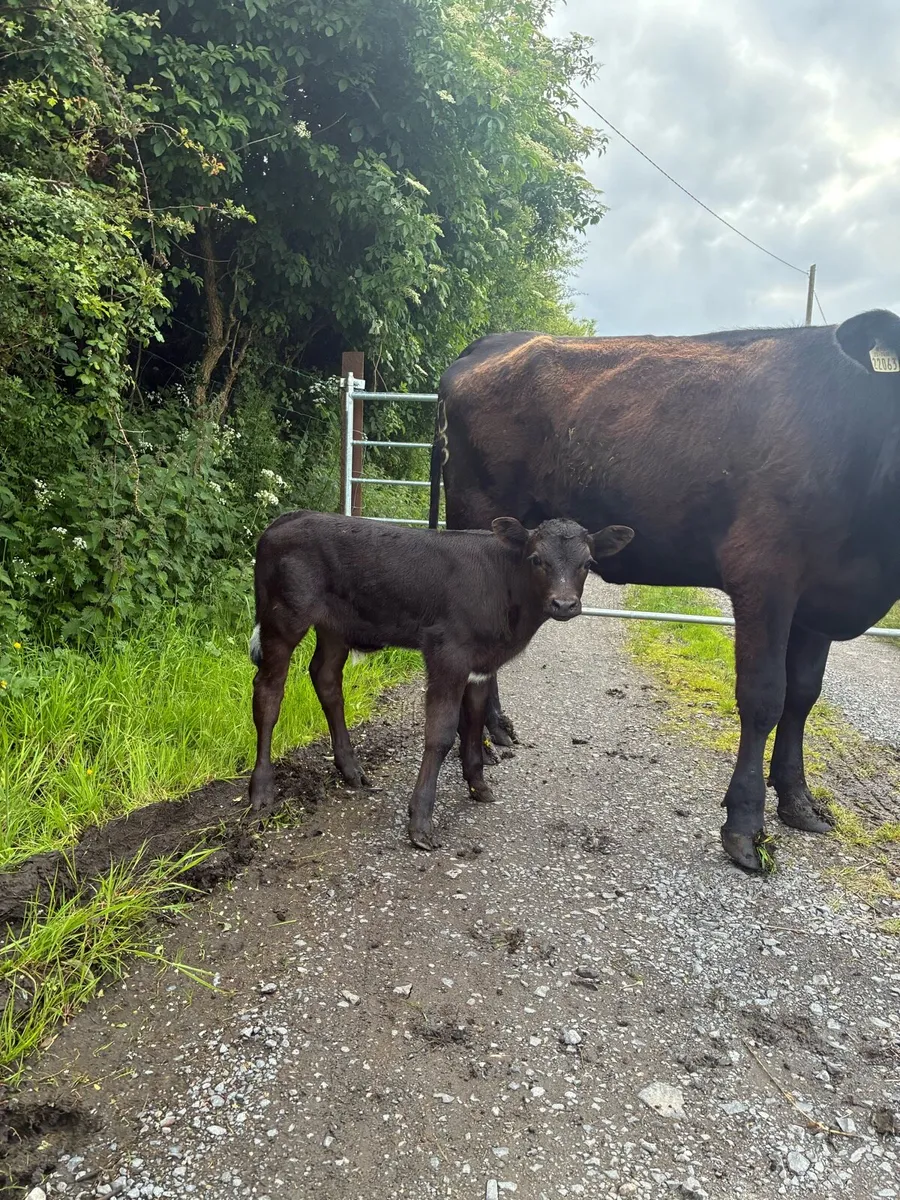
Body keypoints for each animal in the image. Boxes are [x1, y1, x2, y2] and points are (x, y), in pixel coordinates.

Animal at [247, 510, 634, 849]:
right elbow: (442, 732)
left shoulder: (482, 663)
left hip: (335, 626)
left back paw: (351, 769)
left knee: (326, 678)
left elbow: (475, 720)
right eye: (537, 559)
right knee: (269, 692)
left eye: (587, 563)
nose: (564, 604)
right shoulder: (447, 651)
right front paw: (420, 822)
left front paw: (478, 785)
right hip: (282, 618)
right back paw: (261, 790)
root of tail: (289, 517)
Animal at [427, 310, 900, 873]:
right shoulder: (764, 575)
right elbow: (765, 696)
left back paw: (497, 728)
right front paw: (745, 826)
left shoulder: (819, 597)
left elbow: (803, 696)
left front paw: (799, 802)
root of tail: (492, 342)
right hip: (478, 515)